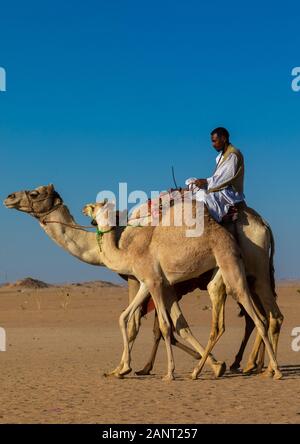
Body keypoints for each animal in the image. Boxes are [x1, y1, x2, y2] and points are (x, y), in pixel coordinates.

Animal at [84, 199, 284, 380]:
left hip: (233, 263)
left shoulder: (155, 282)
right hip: (220, 270)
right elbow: (123, 317)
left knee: (258, 316)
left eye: (94, 206)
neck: (128, 253)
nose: (84, 208)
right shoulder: (146, 283)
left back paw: (273, 370)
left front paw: (169, 373)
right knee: (232, 313)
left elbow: (165, 326)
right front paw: (122, 369)